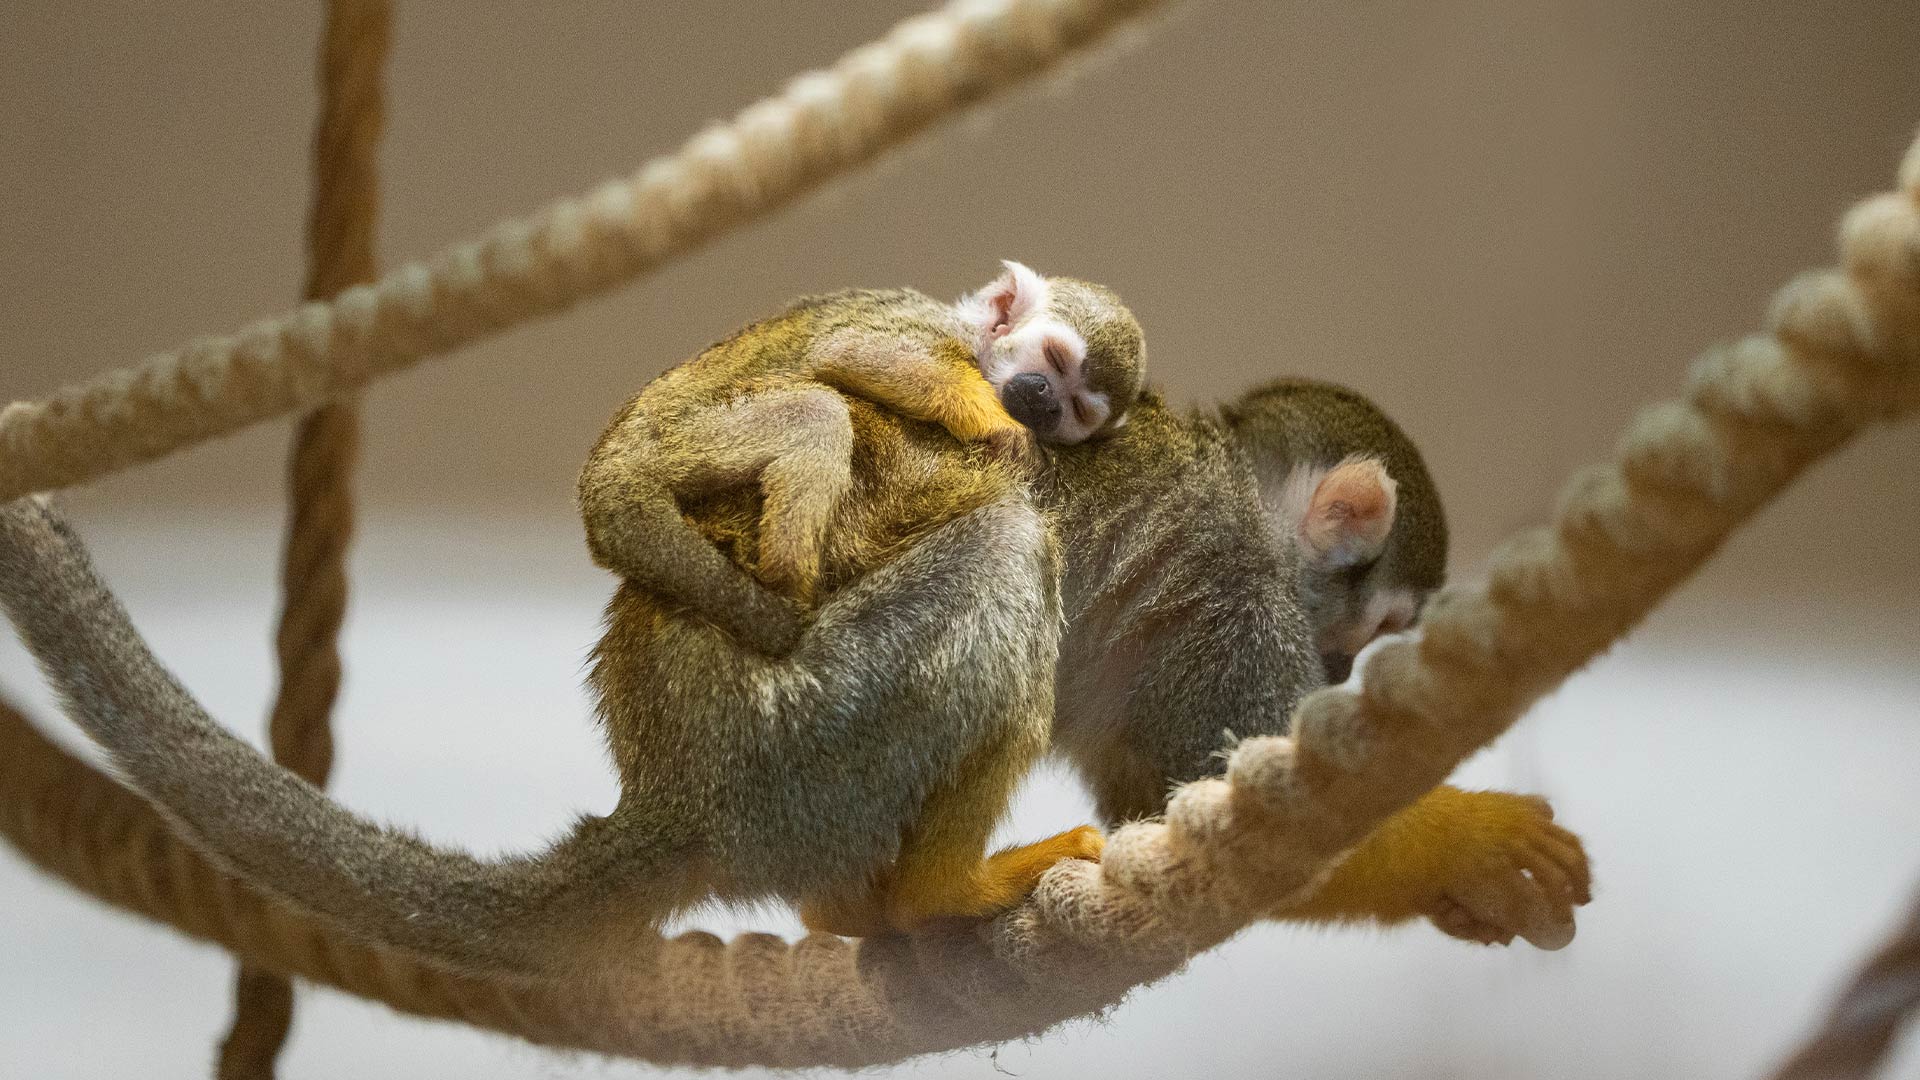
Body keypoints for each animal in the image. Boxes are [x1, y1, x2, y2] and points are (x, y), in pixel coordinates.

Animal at [572, 259, 1136, 657]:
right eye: (1056, 360)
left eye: (1077, 410)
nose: (1044, 401)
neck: (973, 341)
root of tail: (603, 471)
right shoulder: (933, 326)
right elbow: (853, 350)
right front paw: (995, 422)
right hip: (673, 440)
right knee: (816, 415)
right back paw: (788, 581)